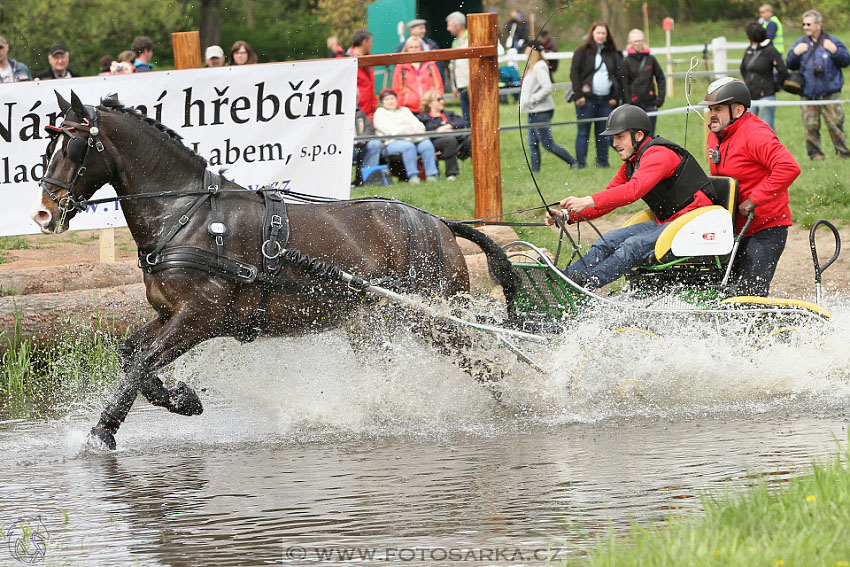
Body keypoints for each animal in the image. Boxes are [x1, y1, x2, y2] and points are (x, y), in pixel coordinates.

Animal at [33, 92, 516, 448]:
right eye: (47, 144)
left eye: (73, 145)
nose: (43, 214)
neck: (184, 215)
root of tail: (438, 224)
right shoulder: (169, 313)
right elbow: (130, 353)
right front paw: (178, 399)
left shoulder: (199, 317)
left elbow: (141, 362)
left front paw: (104, 431)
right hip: (374, 326)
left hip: (435, 319)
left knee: (487, 364)